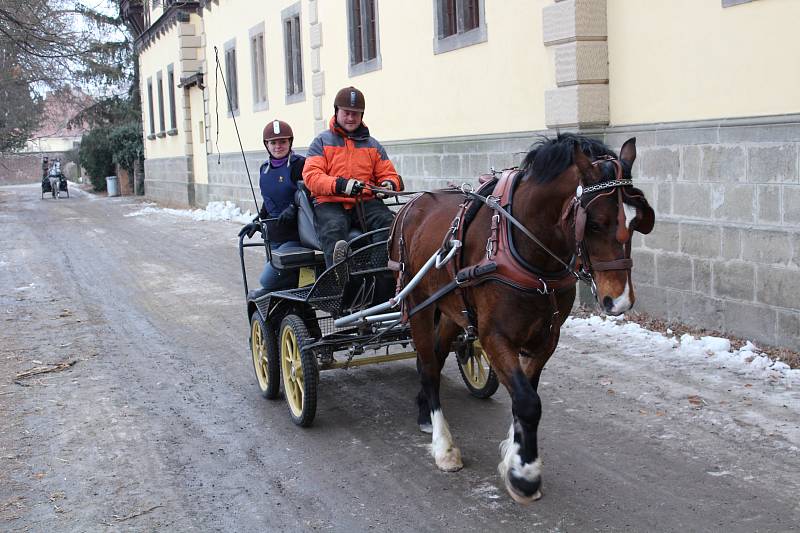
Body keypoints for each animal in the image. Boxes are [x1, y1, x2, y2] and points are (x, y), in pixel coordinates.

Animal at [388, 133, 656, 502]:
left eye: (636, 220)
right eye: (595, 223)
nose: (620, 301)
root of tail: (411, 205)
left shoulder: (547, 336)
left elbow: (525, 395)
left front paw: (515, 456)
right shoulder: (493, 336)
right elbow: (528, 402)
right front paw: (524, 474)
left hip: (451, 309)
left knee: (435, 357)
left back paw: (424, 410)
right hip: (419, 304)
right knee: (428, 367)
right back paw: (444, 446)